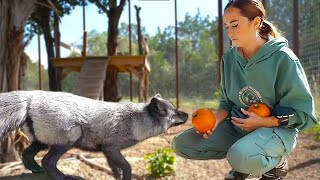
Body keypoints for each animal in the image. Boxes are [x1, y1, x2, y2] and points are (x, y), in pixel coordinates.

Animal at [0, 90, 188, 179]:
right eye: (175, 113)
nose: (187, 115)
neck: (135, 120)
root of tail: (31, 96)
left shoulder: (107, 152)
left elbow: (116, 170)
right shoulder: (111, 147)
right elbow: (127, 167)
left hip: (41, 142)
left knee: (26, 155)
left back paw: (36, 170)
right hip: (70, 138)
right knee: (48, 162)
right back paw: (65, 178)